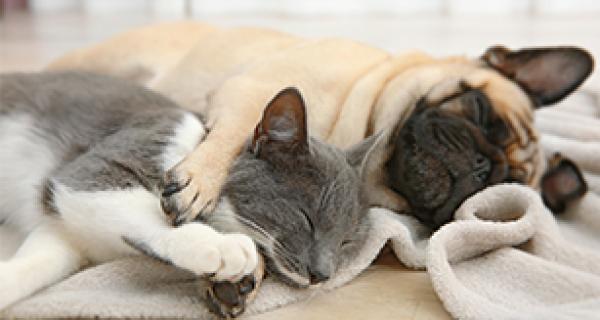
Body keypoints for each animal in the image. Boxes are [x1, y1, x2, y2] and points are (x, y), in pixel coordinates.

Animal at [0, 70, 372, 318]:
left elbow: (39, 261)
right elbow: (136, 204)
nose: (322, 275)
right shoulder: (96, 167)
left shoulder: (64, 233)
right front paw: (222, 247)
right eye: (307, 218)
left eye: (346, 241)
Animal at [49, 20, 592, 230]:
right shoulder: (253, 90)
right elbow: (234, 132)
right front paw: (202, 181)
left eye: (499, 186)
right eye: (480, 110)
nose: (481, 165)